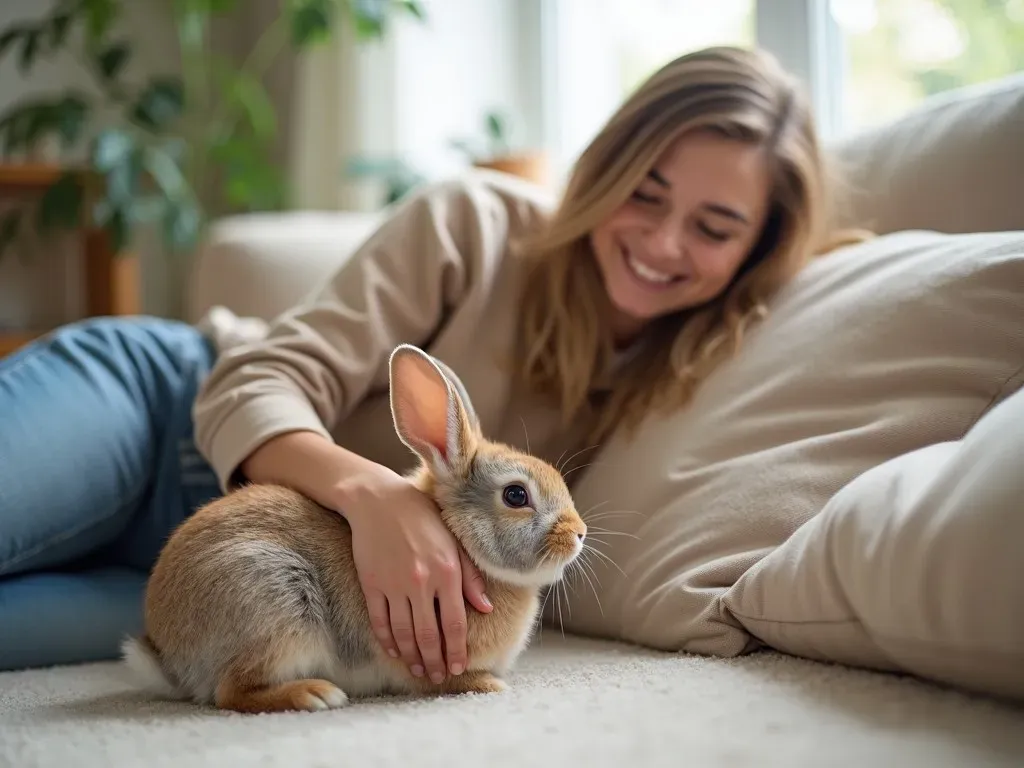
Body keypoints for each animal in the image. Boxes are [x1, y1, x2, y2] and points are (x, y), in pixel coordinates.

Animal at [118, 342, 585, 716]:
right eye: (515, 496)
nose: (579, 533)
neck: (463, 545)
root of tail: (169, 657)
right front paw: (488, 684)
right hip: (275, 601)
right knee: (231, 691)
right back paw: (315, 695)